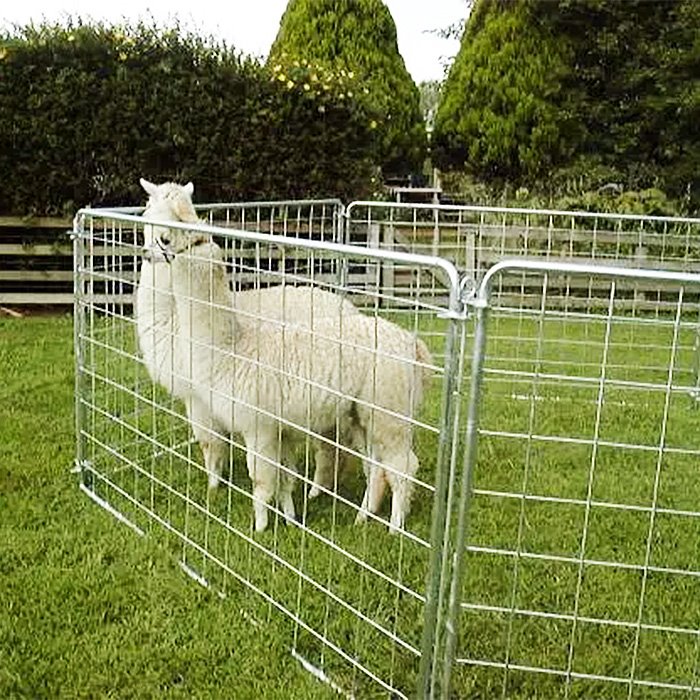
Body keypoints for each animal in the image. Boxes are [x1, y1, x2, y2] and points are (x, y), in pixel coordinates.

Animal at [135, 178, 360, 494]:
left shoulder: (198, 396)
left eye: (168, 232)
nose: (146, 252)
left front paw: (213, 486)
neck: (173, 320)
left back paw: (317, 490)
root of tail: (349, 307)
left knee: (328, 447)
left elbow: (209, 442)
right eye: (147, 215)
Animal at [164, 233, 432, 532]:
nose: (163, 240)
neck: (233, 350)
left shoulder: (258, 427)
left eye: (191, 242)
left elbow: (261, 481)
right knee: (377, 467)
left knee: (403, 466)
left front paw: (259, 528)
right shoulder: (278, 430)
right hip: (365, 412)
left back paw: (395, 527)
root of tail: (412, 344)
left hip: (390, 407)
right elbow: (284, 478)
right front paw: (290, 518)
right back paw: (363, 517)